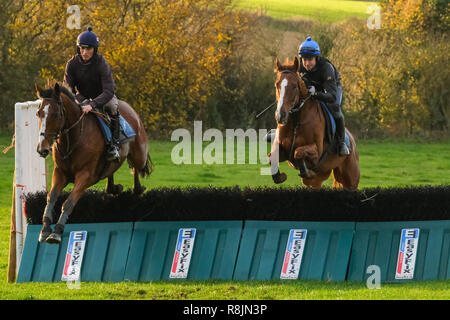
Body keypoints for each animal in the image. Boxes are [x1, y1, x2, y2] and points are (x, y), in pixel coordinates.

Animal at [33, 82, 153, 242]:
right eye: (38, 113)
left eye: (56, 114)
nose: (42, 149)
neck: (72, 139)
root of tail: (130, 109)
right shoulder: (60, 173)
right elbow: (51, 197)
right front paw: (45, 228)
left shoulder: (85, 176)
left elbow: (68, 203)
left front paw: (57, 231)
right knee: (113, 170)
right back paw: (113, 187)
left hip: (139, 154)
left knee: (136, 167)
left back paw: (138, 188)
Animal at [268, 57, 360, 190]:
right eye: (277, 85)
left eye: (294, 86)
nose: (280, 116)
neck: (296, 121)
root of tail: (352, 140)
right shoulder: (282, 149)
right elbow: (271, 157)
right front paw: (279, 177)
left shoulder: (316, 153)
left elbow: (298, 153)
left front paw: (307, 171)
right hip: (320, 178)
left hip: (350, 179)